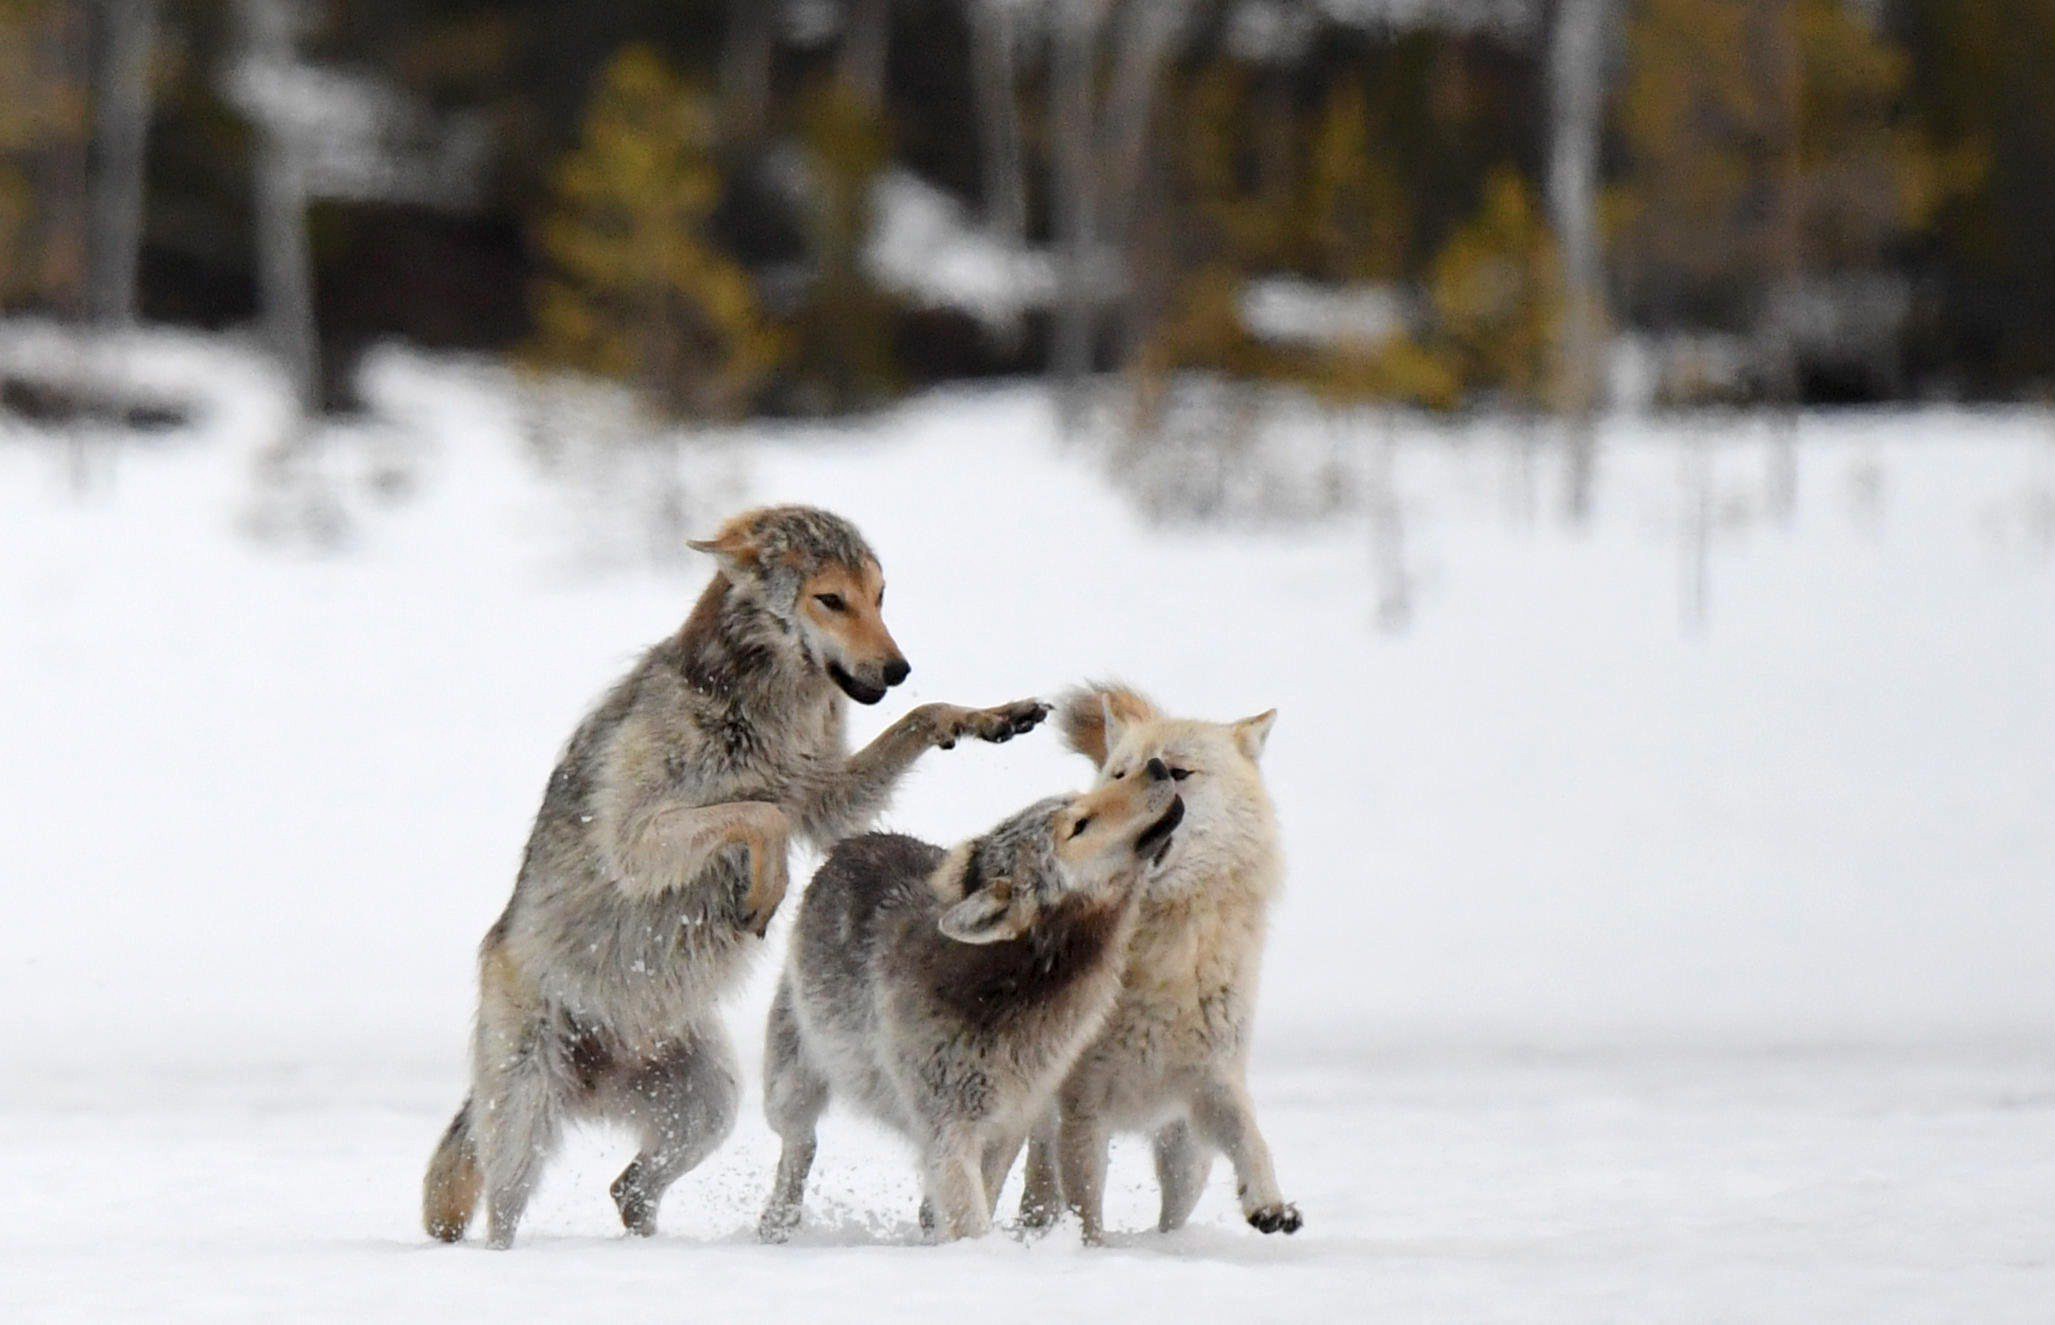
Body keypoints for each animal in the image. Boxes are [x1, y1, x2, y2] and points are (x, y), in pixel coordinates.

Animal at [423, 501, 1052, 1248]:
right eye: (830, 599)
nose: (897, 667)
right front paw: (763, 890)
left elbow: (916, 719)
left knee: (627, 1189)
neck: (764, 704)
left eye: (879, 596)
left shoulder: (826, 800)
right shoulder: (637, 839)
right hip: (526, 1120)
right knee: (504, 1213)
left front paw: (992, 717)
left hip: (710, 1104)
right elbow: (758, 814)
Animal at [760, 764, 1191, 1240]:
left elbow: (982, 1194)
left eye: (1080, 802)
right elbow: (971, 1221)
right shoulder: (949, 1131)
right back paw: (776, 1223)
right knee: (800, 1142)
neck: (1010, 987)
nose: (1158, 766)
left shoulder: (1009, 1122)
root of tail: (850, 844)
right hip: (790, 1086)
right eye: (1079, 826)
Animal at [1015, 682, 1298, 1240]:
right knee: (1042, 1194)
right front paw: (1093, 1251)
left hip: (1186, 1156)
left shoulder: (1212, 1081)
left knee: (1174, 1215)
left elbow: (1253, 1140)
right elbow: (1087, 1209)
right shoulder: (1083, 1109)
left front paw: (1270, 1205)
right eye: (1120, 775)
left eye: (1181, 771)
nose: (1148, 782)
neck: (1164, 952)